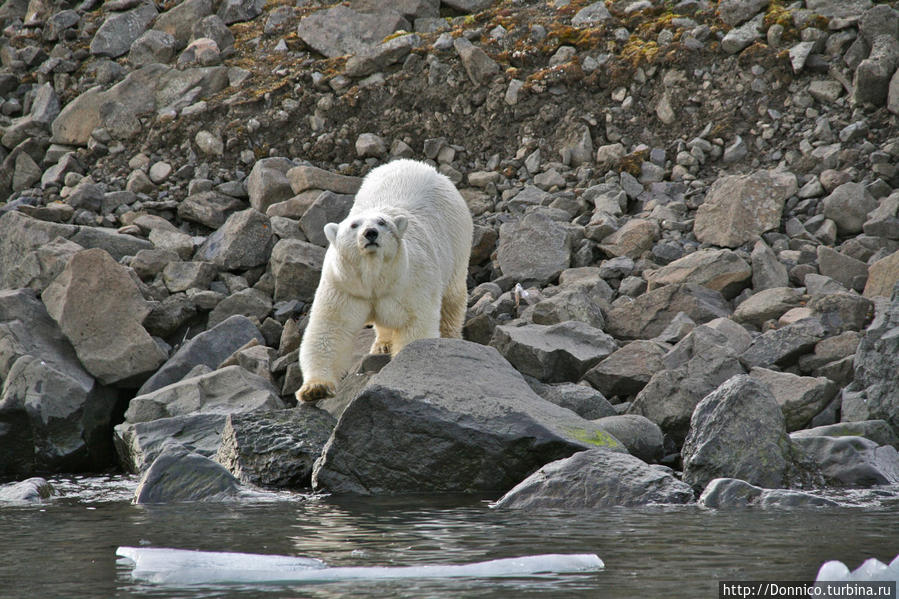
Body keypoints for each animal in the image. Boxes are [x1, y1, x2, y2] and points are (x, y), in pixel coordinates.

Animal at [298, 159, 478, 404]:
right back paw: (382, 345)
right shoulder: (344, 285)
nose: (370, 233)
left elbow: (416, 324)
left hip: (457, 237)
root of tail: (421, 166)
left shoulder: (412, 282)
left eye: (382, 222)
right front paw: (315, 388)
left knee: (453, 296)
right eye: (354, 225)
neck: (375, 279)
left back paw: (450, 337)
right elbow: (330, 329)